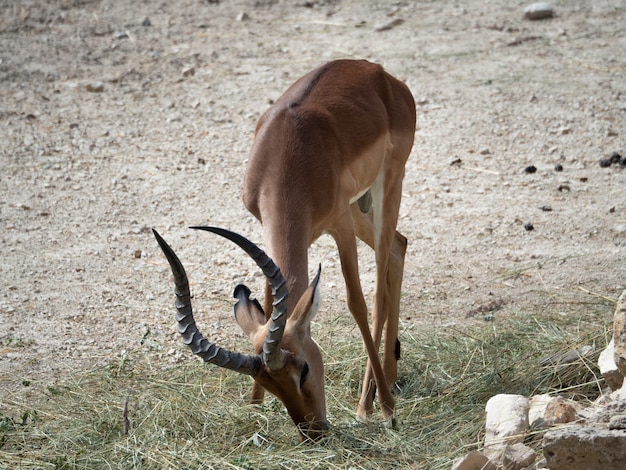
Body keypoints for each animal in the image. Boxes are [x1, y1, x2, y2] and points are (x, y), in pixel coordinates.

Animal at [152, 59, 414, 440]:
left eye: (302, 369)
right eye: (270, 383)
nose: (314, 432)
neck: (289, 153)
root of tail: (377, 72)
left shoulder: (339, 224)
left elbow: (356, 304)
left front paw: (384, 413)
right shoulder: (271, 226)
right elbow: (269, 300)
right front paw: (253, 405)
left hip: (388, 185)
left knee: (379, 290)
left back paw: (373, 402)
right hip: (359, 208)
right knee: (399, 246)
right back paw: (390, 380)